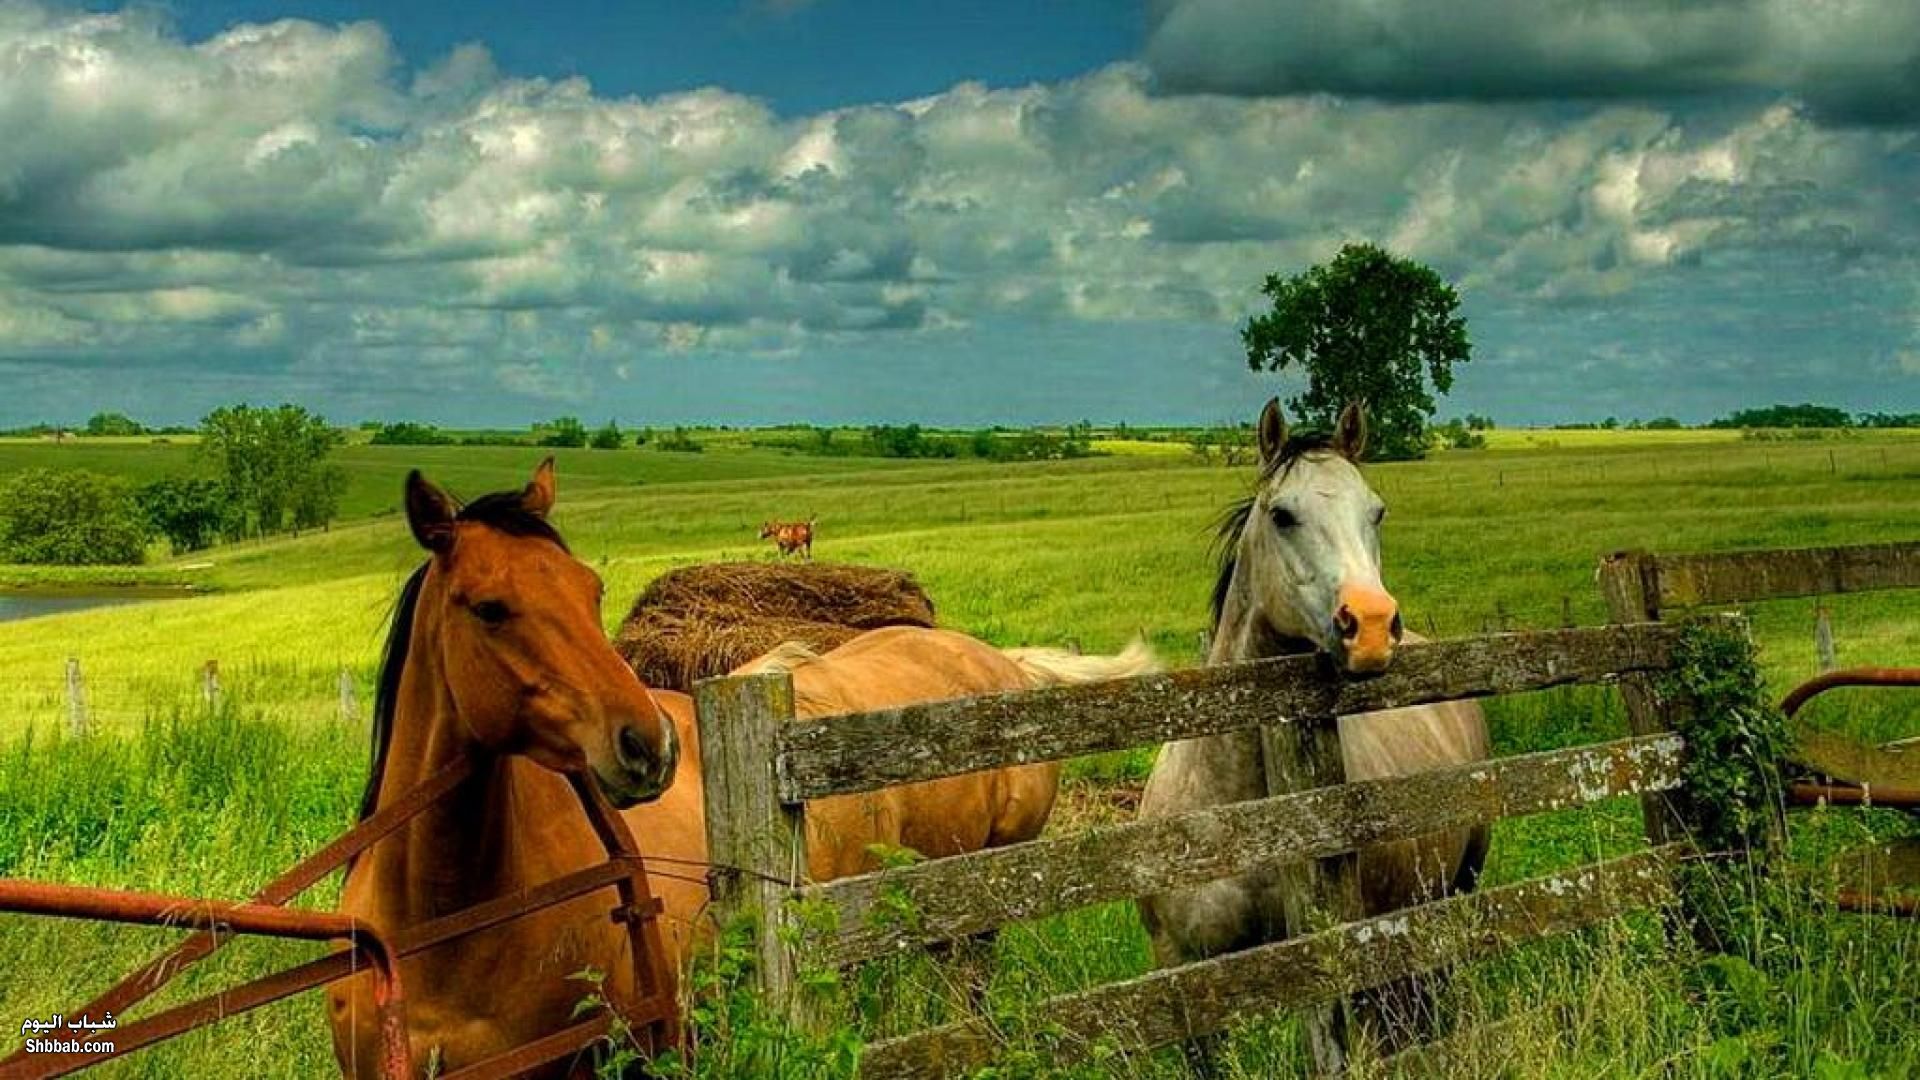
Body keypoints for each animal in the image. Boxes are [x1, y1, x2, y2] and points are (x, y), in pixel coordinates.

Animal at [326, 457, 1152, 1068]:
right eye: (489, 607)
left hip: (983, 908)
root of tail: (1000, 663)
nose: (648, 743)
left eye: (591, 590)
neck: (446, 932)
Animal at [1128, 399, 1489, 1060]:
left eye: (1377, 511)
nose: (1371, 626)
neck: (1244, 816)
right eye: (1282, 515)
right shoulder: (1183, 976)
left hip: (1455, 889)